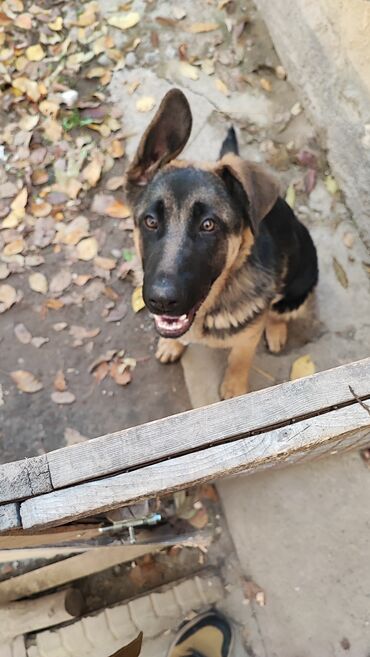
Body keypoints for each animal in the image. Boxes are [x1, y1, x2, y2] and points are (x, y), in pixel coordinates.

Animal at [125, 89, 318, 398]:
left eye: (208, 225)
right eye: (150, 221)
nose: (162, 301)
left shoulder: (247, 337)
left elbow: (240, 358)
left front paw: (234, 388)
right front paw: (171, 344)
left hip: (300, 283)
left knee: (279, 310)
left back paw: (276, 329)